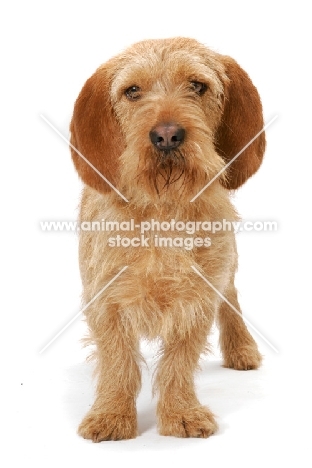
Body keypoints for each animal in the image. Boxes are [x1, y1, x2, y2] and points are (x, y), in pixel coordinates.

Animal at [70, 37, 266, 442]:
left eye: (197, 85)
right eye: (132, 91)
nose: (166, 135)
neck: (163, 208)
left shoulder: (198, 297)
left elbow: (180, 358)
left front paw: (181, 413)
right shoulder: (105, 298)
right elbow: (117, 360)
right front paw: (111, 415)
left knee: (232, 297)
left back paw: (242, 347)